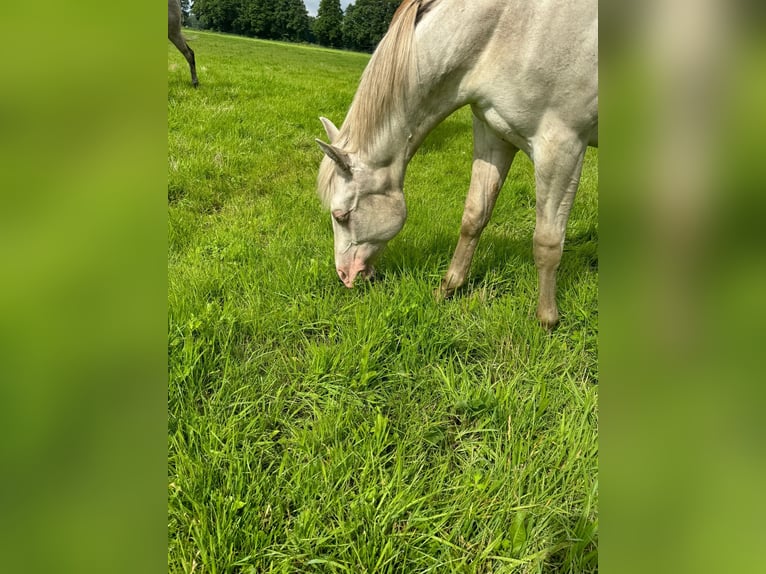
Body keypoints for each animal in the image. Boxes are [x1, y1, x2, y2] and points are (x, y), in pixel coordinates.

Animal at [318, 0, 600, 330]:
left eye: (341, 216)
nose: (345, 276)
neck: (510, 31)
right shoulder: (493, 136)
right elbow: (474, 216)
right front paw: (449, 287)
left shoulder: (561, 148)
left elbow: (547, 241)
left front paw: (546, 320)